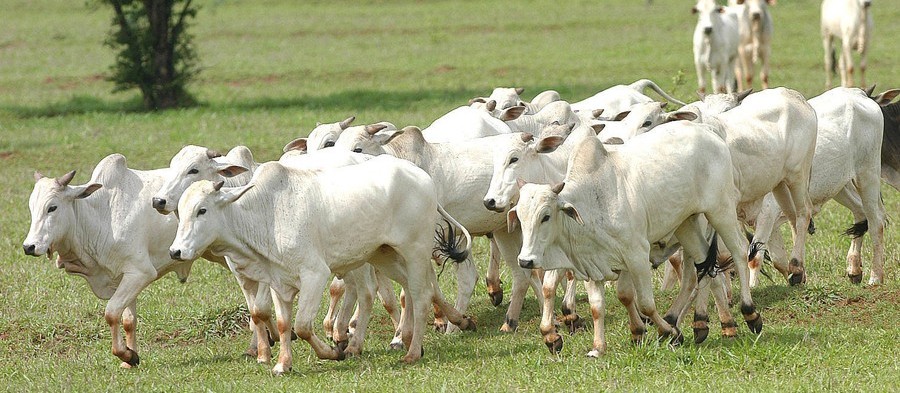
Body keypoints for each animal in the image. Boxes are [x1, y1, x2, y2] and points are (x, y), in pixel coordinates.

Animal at [22, 155, 189, 368]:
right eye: (31, 207)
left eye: (52, 207)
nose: (29, 246)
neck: (101, 216)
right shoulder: (123, 277)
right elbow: (128, 320)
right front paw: (130, 359)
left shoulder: (141, 272)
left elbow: (111, 313)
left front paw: (126, 355)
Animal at [171, 155, 478, 372]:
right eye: (180, 213)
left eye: (202, 210)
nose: (176, 251)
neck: (267, 215)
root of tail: (421, 176)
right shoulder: (277, 282)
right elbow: (283, 323)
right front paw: (282, 364)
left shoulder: (315, 275)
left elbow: (303, 326)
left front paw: (333, 352)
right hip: (383, 254)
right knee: (415, 291)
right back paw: (452, 324)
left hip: (414, 251)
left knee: (421, 294)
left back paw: (412, 351)